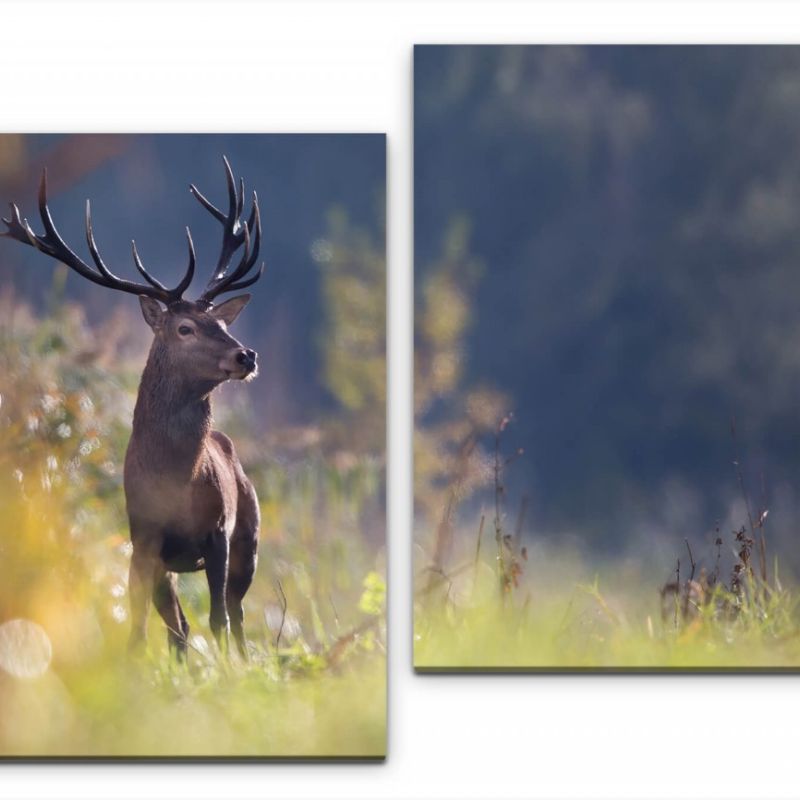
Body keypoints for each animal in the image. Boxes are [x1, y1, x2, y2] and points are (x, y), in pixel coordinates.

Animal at [1, 158, 268, 664]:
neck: (175, 484)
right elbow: (139, 628)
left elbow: (219, 620)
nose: (246, 355)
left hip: (249, 533)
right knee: (179, 627)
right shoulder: (143, 540)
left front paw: (229, 673)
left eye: (221, 323)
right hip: (169, 564)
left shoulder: (218, 533)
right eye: (185, 328)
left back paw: (244, 663)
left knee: (236, 615)